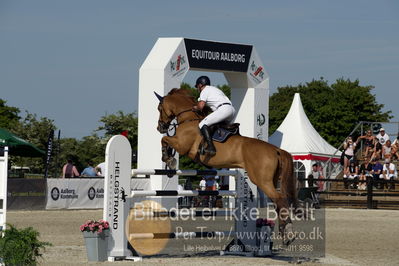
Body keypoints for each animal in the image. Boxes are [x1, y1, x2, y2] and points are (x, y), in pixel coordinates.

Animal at [155, 88, 298, 244]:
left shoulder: (182, 145)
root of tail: (276, 150)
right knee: (278, 201)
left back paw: (288, 233)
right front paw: (168, 160)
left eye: (159, 108)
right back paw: (285, 232)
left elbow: (165, 139)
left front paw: (168, 159)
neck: (188, 119)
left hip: (261, 180)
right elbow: (166, 140)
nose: (160, 127)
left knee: (279, 198)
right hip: (271, 179)